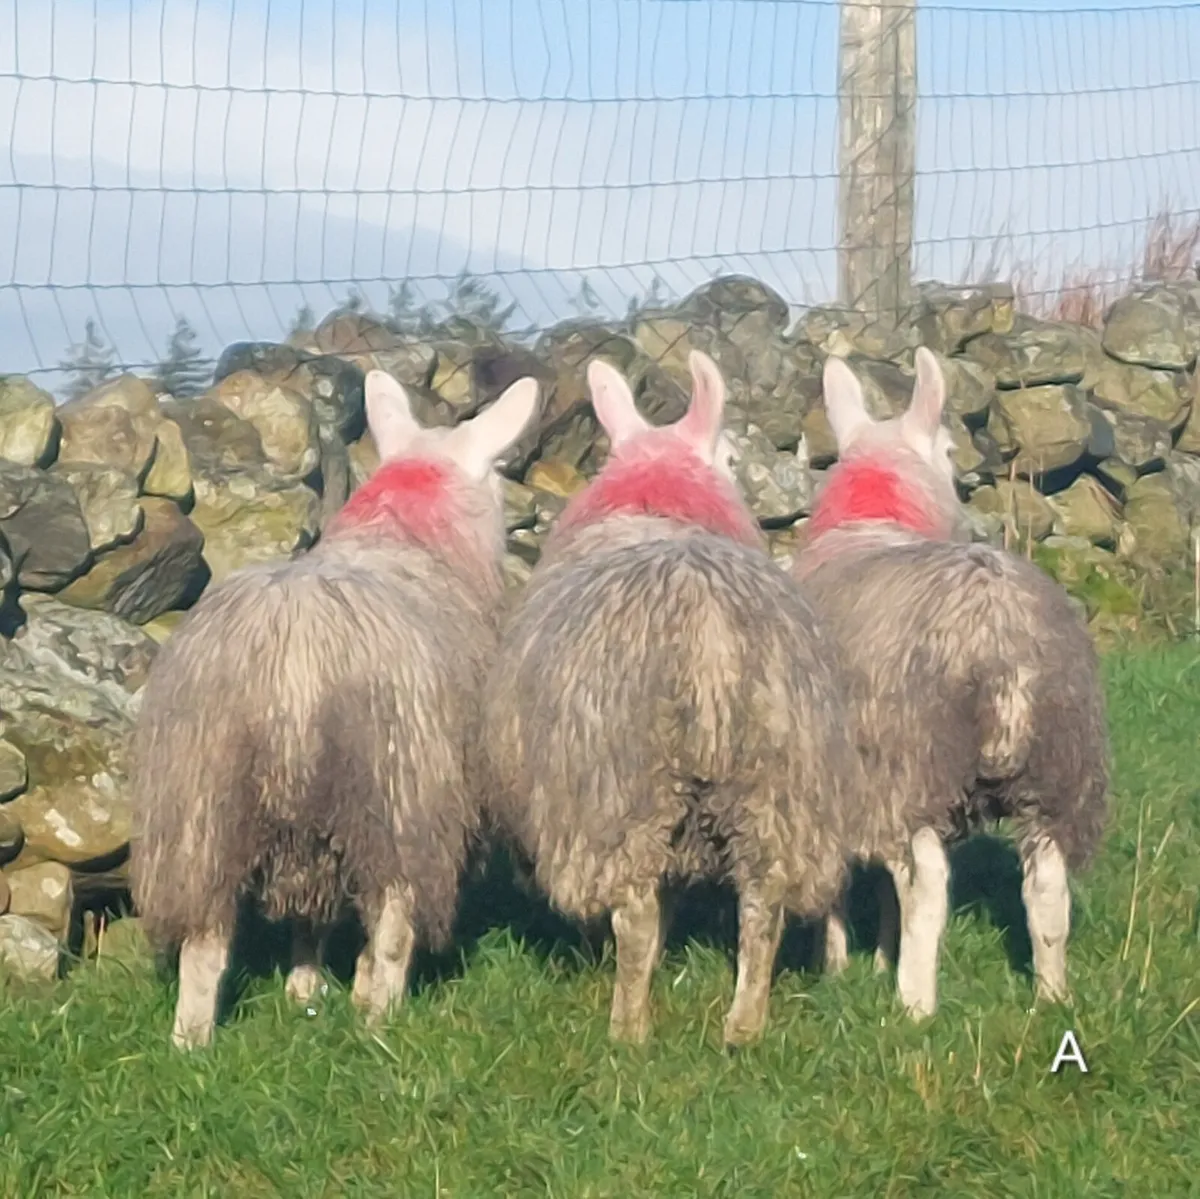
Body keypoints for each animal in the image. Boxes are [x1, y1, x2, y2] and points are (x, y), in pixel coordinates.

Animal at [129, 368, 541, 1049]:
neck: (408, 531)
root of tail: (291, 662)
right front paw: (352, 990)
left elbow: (310, 916)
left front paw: (304, 988)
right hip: (398, 793)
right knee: (395, 920)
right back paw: (380, 1020)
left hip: (199, 811)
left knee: (205, 944)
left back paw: (192, 1041)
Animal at [480, 350, 863, 1047]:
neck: (657, 495)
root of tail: (708, 635)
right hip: (780, 789)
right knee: (762, 908)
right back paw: (743, 1026)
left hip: (620, 795)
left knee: (633, 915)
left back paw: (628, 1028)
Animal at [793, 347, 1109, 1019]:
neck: (872, 516)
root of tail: (1000, 640)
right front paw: (873, 957)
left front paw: (837, 963)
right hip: (1060, 771)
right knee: (1047, 890)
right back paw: (1052, 996)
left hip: (918, 765)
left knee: (929, 888)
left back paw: (915, 1002)